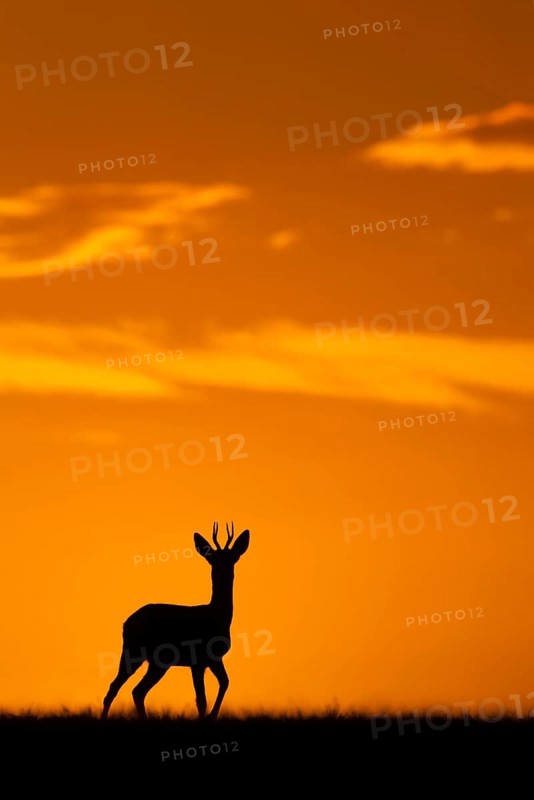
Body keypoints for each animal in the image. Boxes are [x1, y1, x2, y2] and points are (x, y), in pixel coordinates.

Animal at [101, 521, 250, 721]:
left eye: (232, 557)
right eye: (212, 559)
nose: (223, 571)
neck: (218, 616)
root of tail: (127, 623)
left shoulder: (213, 658)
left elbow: (225, 682)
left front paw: (212, 716)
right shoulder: (198, 659)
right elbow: (201, 700)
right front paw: (207, 717)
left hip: (156, 661)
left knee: (134, 690)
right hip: (136, 653)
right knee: (122, 688)